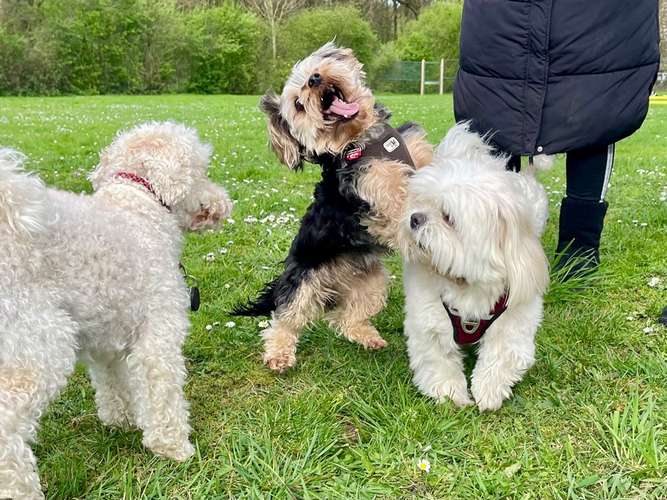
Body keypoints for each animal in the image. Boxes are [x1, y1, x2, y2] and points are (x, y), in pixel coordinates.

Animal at [0, 122, 234, 500]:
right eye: (202, 172)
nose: (224, 203)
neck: (140, 200)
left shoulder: (106, 338)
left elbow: (114, 383)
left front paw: (121, 420)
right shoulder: (158, 333)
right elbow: (163, 394)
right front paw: (172, 447)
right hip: (39, 342)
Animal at [400, 124, 552, 410]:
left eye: (448, 217)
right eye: (421, 202)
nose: (415, 218)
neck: (466, 283)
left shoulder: (515, 318)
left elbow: (501, 355)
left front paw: (487, 391)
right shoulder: (428, 319)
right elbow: (438, 359)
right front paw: (450, 393)